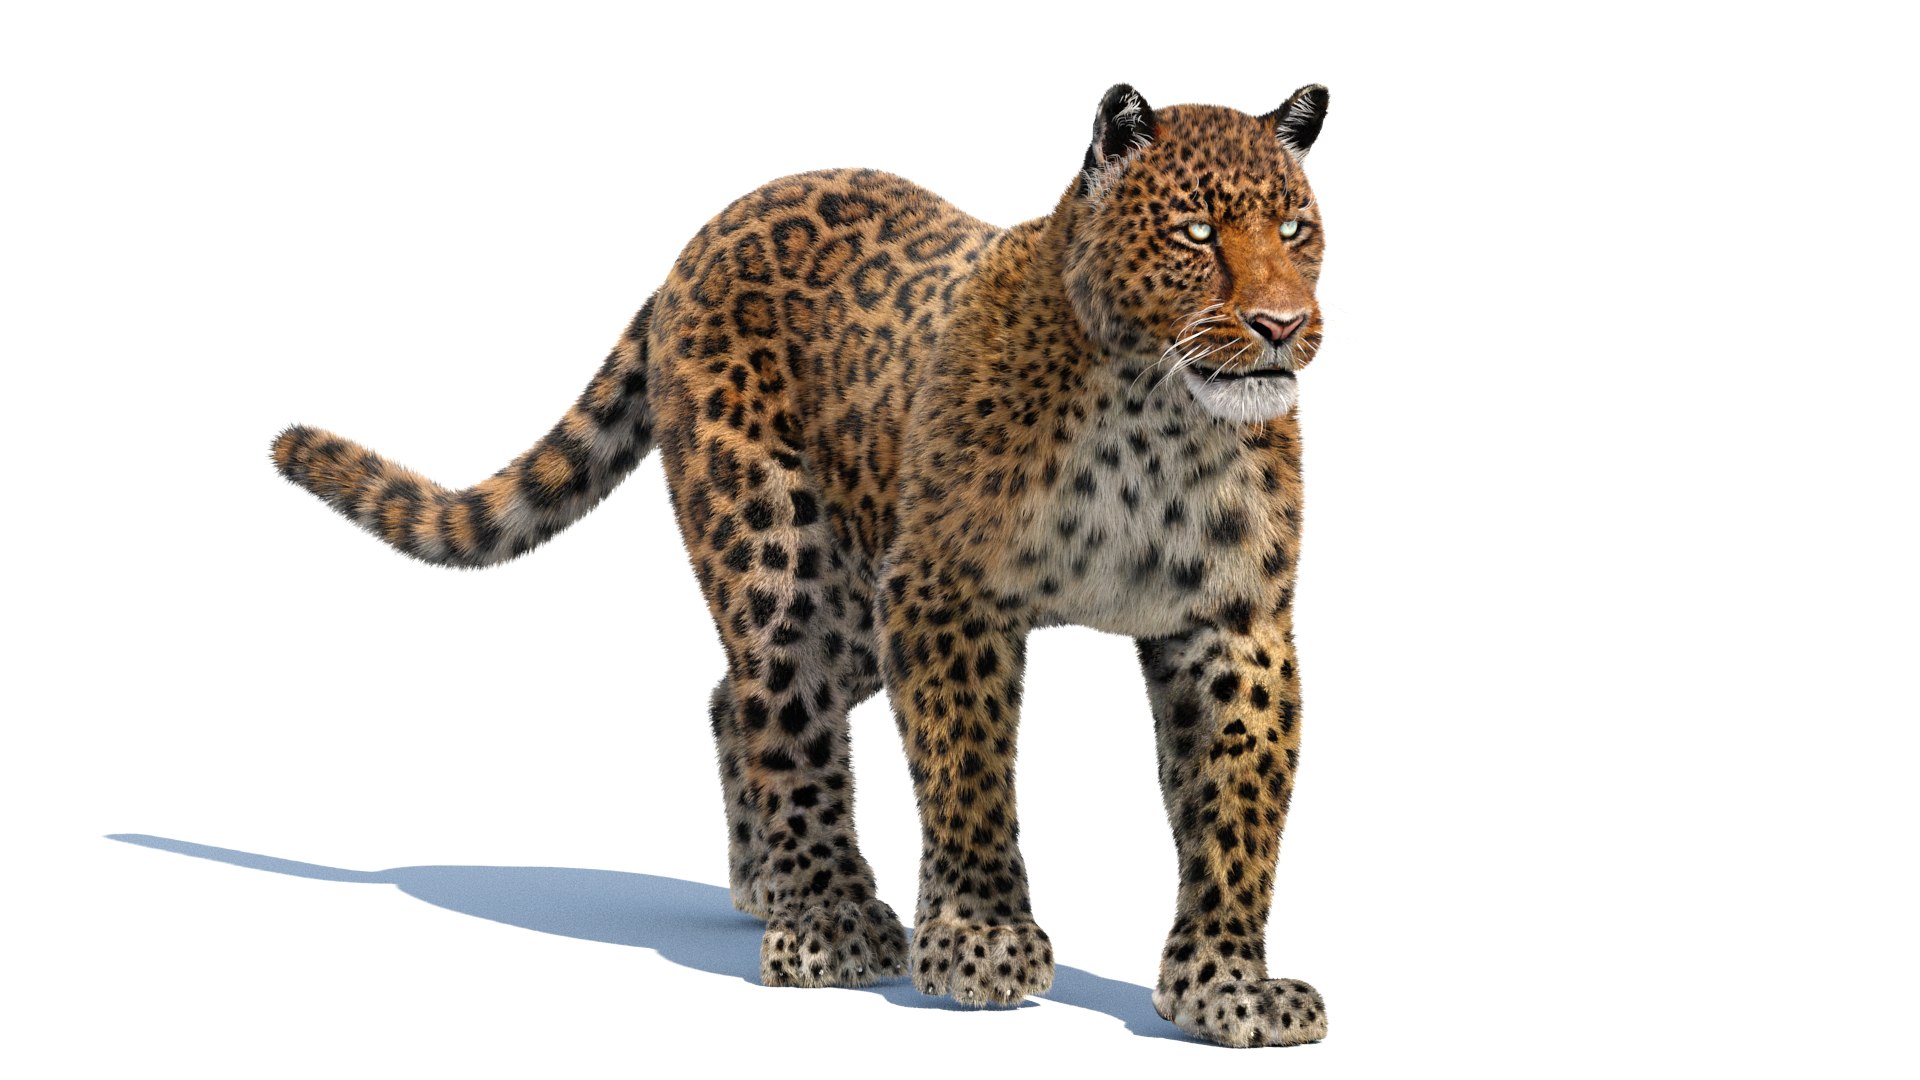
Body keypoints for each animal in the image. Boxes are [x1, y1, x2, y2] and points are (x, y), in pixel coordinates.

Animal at [269, 82, 1334, 1048]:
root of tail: (704, 236)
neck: (1161, 417)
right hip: (784, 557)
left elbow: (1236, 807)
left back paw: (764, 883)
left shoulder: (1233, 624)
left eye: (1295, 226)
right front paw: (982, 941)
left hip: (858, 607)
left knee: (731, 699)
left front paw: (1226, 989)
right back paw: (826, 917)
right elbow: (967, 771)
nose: (1282, 325)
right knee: (783, 709)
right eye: (1196, 231)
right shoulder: (945, 596)